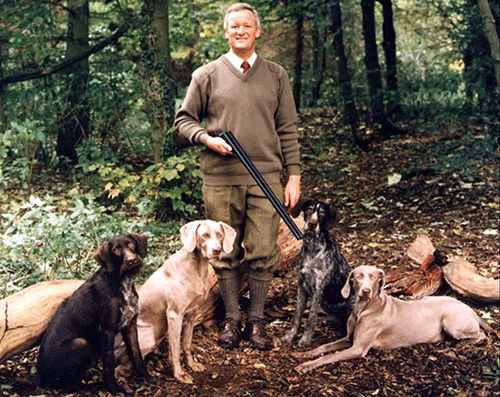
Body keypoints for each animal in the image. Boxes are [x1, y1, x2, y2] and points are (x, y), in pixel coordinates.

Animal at [37, 232, 148, 390]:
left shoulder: (130, 325)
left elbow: (136, 354)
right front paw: (112, 388)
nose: (132, 260)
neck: (121, 282)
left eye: (131, 244)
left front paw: (146, 377)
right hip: (81, 343)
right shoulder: (107, 330)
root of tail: (40, 377)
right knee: (71, 385)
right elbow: (109, 362)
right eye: (116, 249)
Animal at [282, 201, 352, 346]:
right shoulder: (301, 287)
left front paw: (305, 339)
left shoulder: (318, 290)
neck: (312, 247)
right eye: (309, 209)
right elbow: (297, 315)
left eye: (322, 213)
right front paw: (290, 335)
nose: (312, 224)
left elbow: (311, 318)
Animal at [292, 264, 492, 372]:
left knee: (481, 336)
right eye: (358, 276)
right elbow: (324, 347)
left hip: (451, 322)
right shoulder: (349, 339)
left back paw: (461, 345)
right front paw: (303, 354)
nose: (366, 291)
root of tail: (470, 309)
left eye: (373, 277)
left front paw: (307, 365)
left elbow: (328, 356)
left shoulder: (358, 348)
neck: (364, 308)